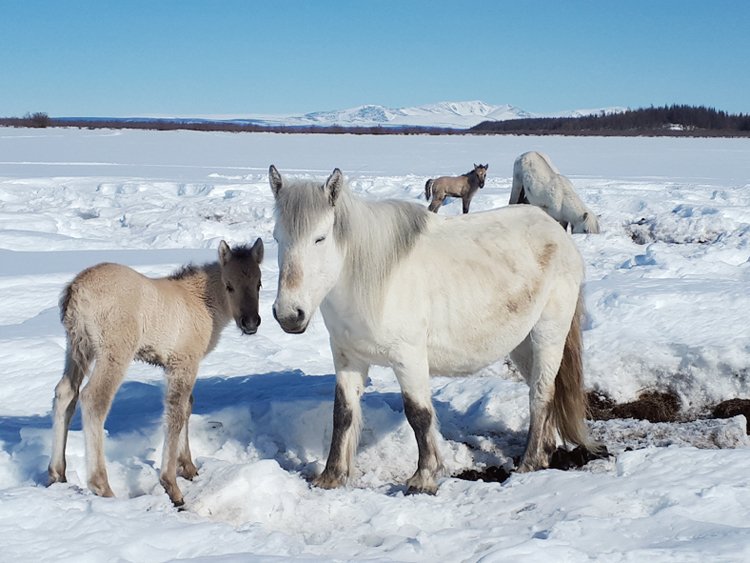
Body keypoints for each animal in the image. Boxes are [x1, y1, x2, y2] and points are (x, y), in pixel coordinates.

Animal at [270, 166, 600, 494]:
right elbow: (342, 413)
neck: (372, 279)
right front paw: (331, 476)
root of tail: (556, 231)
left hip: (548, 332)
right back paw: (544, 452)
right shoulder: (348, 358)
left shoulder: (409, 356)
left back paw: (529, 462)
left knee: (541, 393)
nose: (289, 314)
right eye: (276, 237)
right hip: (521, 342)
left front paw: (423, 478)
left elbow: (418, 414)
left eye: (320, 238)